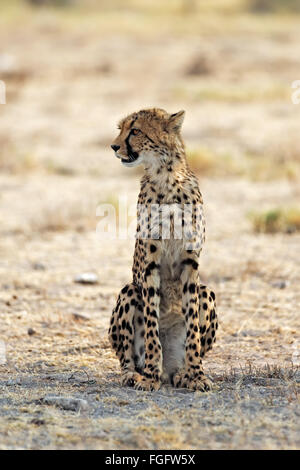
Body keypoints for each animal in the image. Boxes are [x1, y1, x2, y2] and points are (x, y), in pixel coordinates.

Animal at [108, 108, 218, 392]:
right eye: (121, 129)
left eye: (135, 130)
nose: (114, 146)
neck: (167, 178)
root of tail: (170, 370)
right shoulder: (150, 264)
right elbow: (150, 326)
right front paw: (149, 376)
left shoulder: (191, 263)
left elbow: (193, 330)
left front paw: (196, 374)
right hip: (129, 290)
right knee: (126, 357)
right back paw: (136, 374)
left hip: (207, 291)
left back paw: (182, 373)